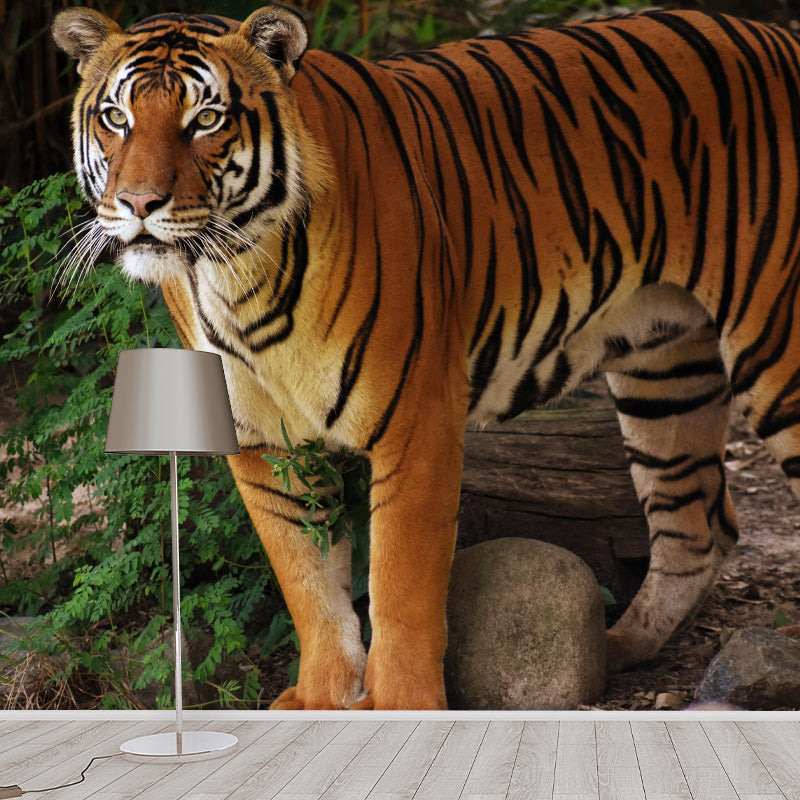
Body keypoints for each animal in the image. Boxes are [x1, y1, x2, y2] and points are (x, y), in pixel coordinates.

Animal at [52, 4, 800, 710]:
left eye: (206, 118)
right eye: (116, 118)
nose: (138, 203)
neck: (237, 275)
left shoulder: (416, 421)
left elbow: (401, 583)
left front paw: (399, 704)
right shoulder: (264, 441)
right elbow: (307, 581)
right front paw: (321, 697)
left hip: (777, 356)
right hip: (664, 367)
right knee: (698, 526)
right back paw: (618, 649)